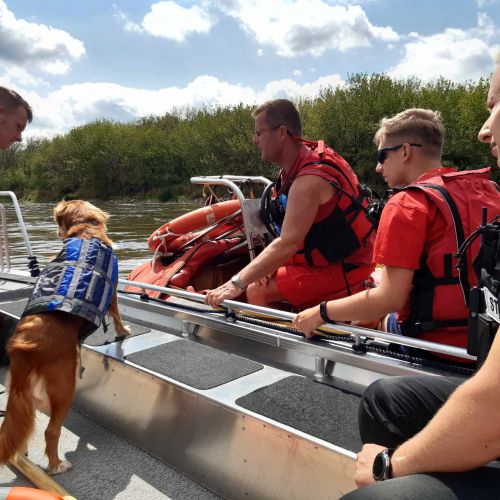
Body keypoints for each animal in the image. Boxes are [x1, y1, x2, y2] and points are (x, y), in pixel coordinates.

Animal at [0, 198, 131, 472]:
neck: (85, 230)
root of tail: (25, 344)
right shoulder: (113, 289)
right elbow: (116, 314)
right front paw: (123, 331)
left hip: (21, 393)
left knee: (23, 425)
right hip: (64, 387)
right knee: (51, 431)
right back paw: (56, 465)